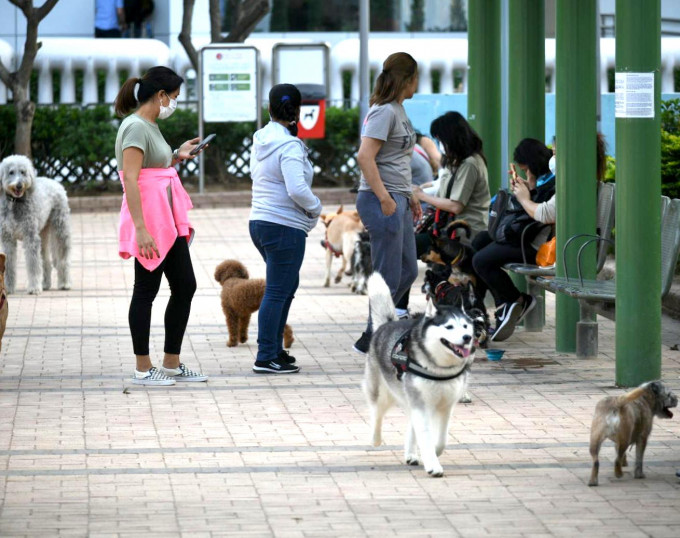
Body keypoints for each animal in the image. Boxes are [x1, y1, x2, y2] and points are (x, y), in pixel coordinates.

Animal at [364, 272, 476, 474]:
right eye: (449, 327)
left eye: (465, 326)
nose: (467, 337)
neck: (439, 368)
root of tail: (386, 325)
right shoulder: (421, 405)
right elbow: (425, 435)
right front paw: (433, 465)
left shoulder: (446, 406)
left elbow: (441, 439)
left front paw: (433, 453)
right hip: (383, 393)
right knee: (377, 412)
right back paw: (375, 439)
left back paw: (411, 454)